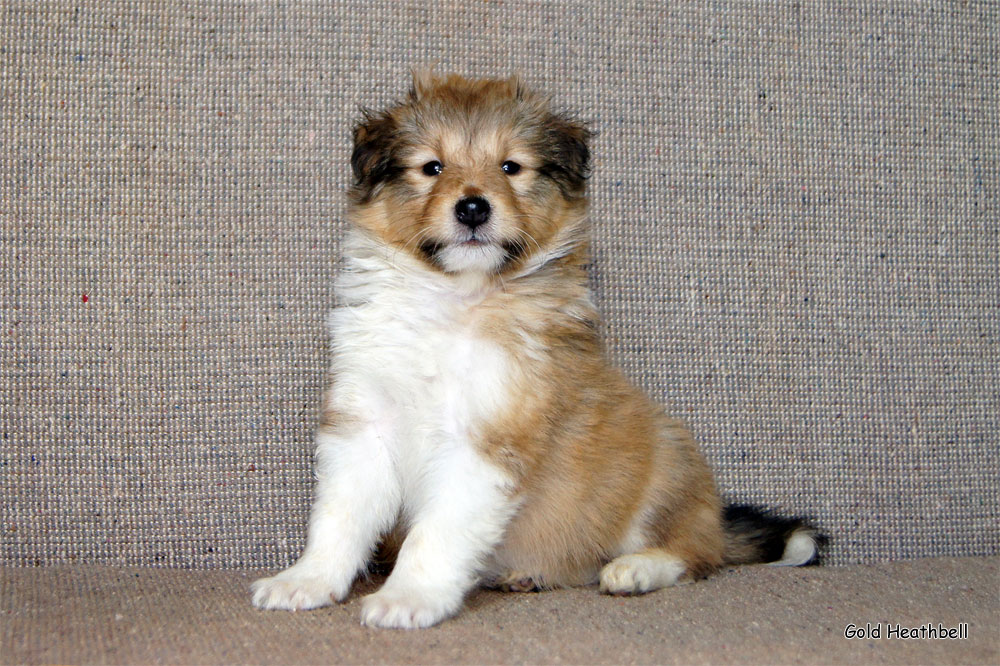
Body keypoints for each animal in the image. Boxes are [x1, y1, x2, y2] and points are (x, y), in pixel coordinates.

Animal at [252, 71, 820, 628]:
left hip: (664, 467)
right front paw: (306, 581)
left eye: (511, 166)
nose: (473, 208)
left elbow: (433, 533)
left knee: (696, 554)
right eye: (432, 167)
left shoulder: (488, 438)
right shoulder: (364, 422)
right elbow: (339, 517)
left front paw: (409, 597)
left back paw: (635, 569)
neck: (454, 301)